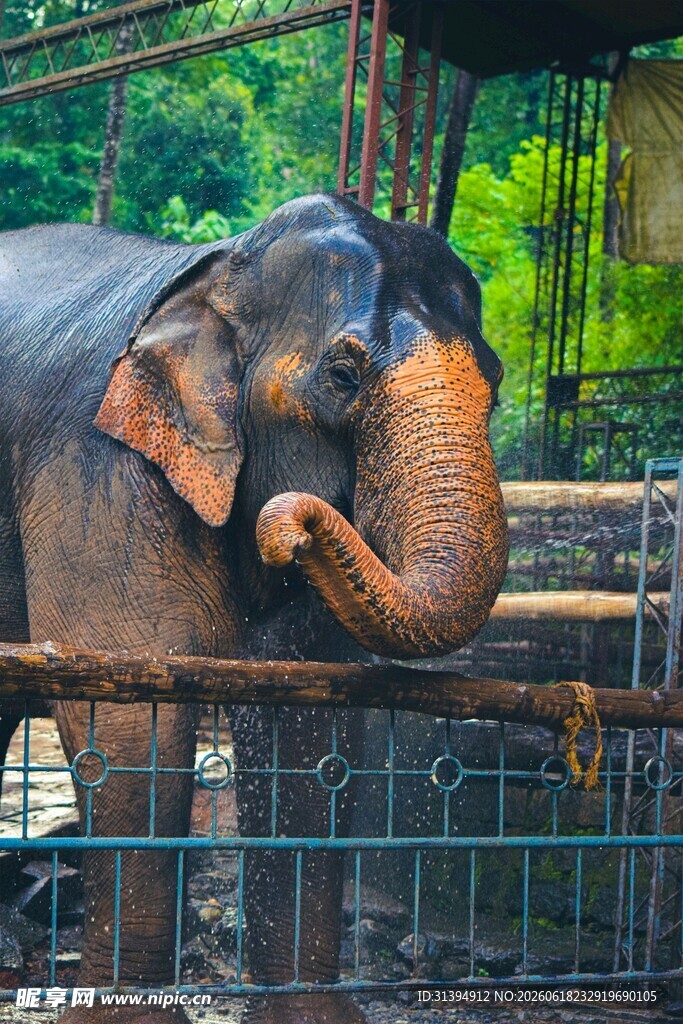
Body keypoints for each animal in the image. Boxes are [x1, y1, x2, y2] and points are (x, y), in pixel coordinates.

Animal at [0, 193, 509, 1023]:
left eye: (493, 383)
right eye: (343, 374)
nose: (291, 525)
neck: (216, 268)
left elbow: (310, 721)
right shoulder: (95, 464)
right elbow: (133, 713)